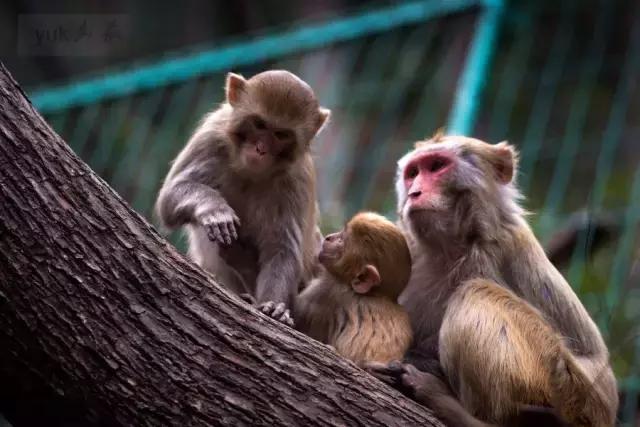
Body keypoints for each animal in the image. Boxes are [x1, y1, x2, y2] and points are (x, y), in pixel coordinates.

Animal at [155, 70, 330, 326]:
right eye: (259, 124)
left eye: (281, 134)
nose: (261, 149)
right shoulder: (211, 136)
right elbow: (169, 199)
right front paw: (214, 210)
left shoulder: (298, 178)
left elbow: (282, 249)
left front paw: (275, 307)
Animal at [370, 135, 620, 427]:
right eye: (413, 174)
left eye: (436, 166)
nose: (414, 193)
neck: (448, 247)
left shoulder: (489, 256)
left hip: (568, 390)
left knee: (476, 293)